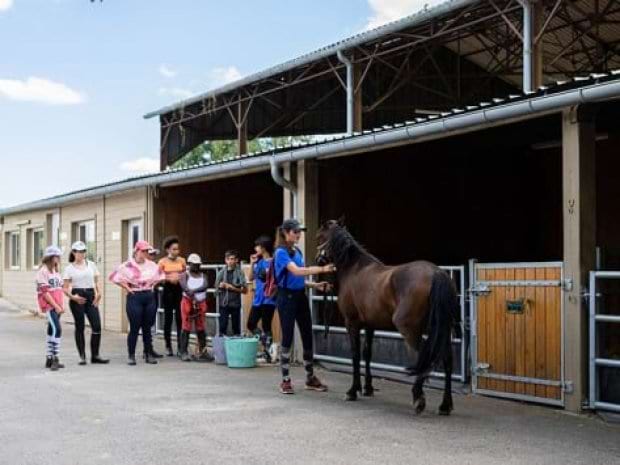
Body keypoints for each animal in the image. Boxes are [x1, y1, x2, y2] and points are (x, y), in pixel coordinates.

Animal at [318, 219, 462, 416]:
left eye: (320, 236)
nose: (318, 260)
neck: (354, 269)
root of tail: (437, 273)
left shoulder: (352, 323)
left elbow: (355, 355)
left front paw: (353, 391)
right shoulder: (370, 325)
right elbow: (367, 353)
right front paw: (368, 388)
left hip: (410, 329)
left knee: (422, 358)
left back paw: (419, 399)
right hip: (442, 330)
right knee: (447, 360)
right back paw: (444, 405)